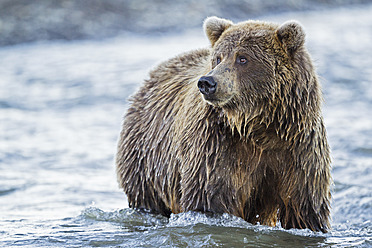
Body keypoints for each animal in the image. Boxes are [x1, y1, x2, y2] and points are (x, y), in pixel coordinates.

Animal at [116, 16, 332, 232]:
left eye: (243, 58)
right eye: (218, 58)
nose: (207, 82)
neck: (258, 125)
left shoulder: (298, 148)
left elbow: (304, 207)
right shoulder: (216, 144)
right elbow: (211, 196)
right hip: (147, 160)